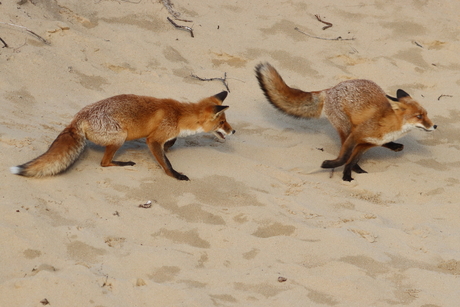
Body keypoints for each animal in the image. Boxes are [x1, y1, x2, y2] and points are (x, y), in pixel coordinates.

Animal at [9, 91, 234, 180]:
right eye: (222, 123)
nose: (233, 131)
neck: (179, 116)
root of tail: (77, 118)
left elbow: (171, 143)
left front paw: (170, 146)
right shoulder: (153, 140)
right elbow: (166, 164)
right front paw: (176, 175)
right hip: (120, 136)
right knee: (104, 163)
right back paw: (123, 163)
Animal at [256, 63, 436, 182]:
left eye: (426, 114)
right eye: (419, 116)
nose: (435, 126)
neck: (390, 128)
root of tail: (329, 89)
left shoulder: (366, 143)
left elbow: (352, 160)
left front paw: (348, 173)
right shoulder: (356, 136)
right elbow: (344, 158)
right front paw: (330, 165)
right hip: (346, 128)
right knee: (345, 148)